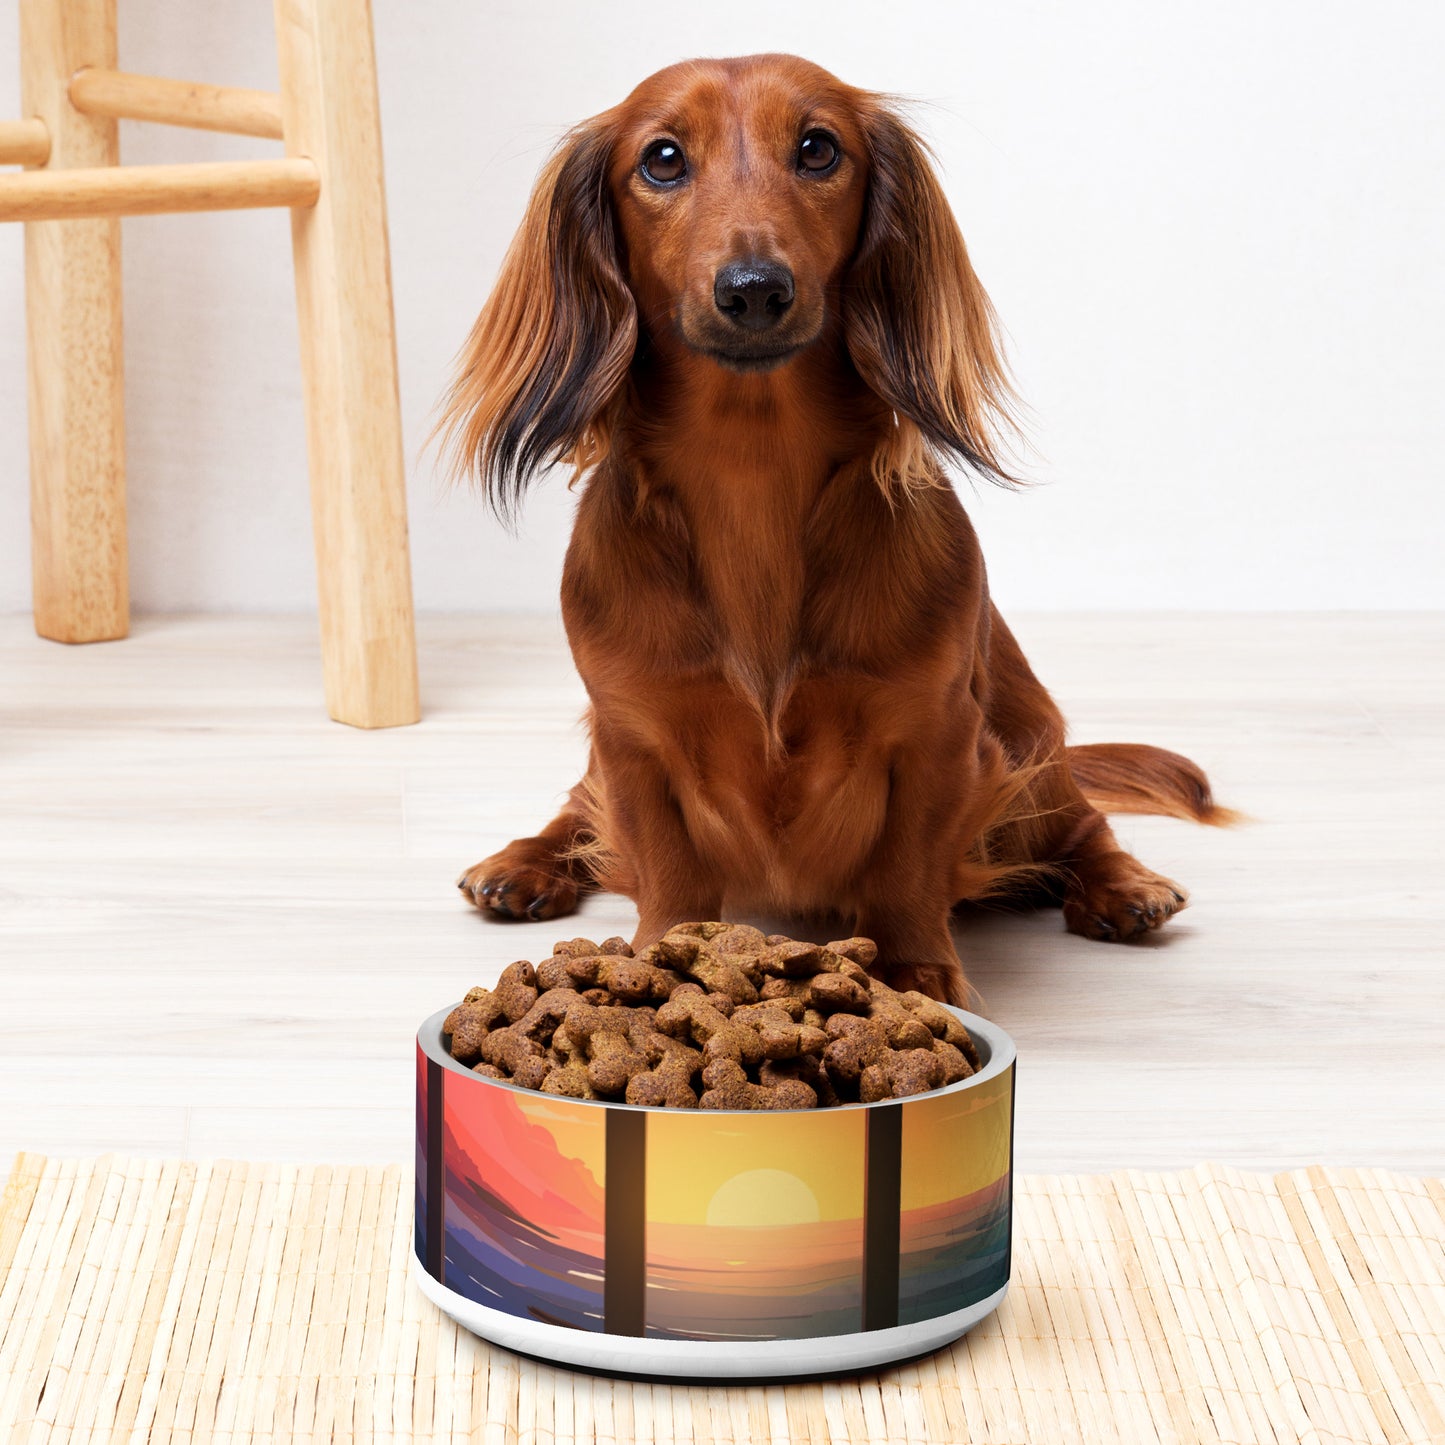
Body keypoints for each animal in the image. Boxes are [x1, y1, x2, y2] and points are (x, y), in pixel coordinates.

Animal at [439, 53, 1231, 1005]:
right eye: (661, 159)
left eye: (818, 148)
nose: (753, 290)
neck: (752, 473)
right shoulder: (632, 735)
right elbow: (664, 865)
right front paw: (660, 958)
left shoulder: (937, 733)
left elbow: (905, 866)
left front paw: (916, 970)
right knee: (575, 810)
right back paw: (523, 863)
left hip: (1028, 745)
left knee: (1081, 823)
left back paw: (1123, 885)